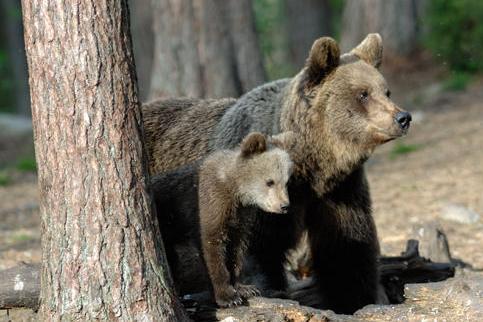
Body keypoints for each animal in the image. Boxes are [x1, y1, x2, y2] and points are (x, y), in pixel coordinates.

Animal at [144, 34, 412, 314]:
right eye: (363, 93)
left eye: (386, 91)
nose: (403, 117)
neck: (312, 166)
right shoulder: (260, 195)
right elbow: (259, 249)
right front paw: (270, 290)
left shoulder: (340, 190)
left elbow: (347, 247)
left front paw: (354, 298)